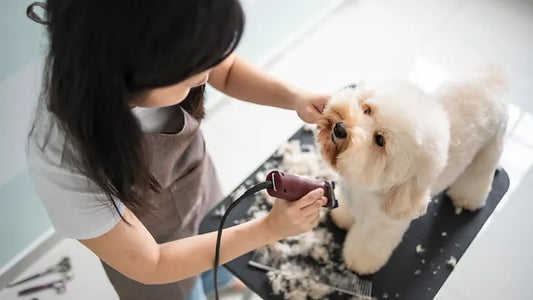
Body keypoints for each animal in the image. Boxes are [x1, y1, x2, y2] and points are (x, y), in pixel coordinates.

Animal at [316, 66, 508, 274]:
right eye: (367, 110)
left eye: (380, 140)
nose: (340, 129)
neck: (365, 190)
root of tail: (491, 79)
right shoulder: (350, 195)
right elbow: (346, 211)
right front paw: (342, 219)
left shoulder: (381, 227)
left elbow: (368, 246)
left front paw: (359, 263)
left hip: (489, 149)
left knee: (477, 177)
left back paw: (467, 199)